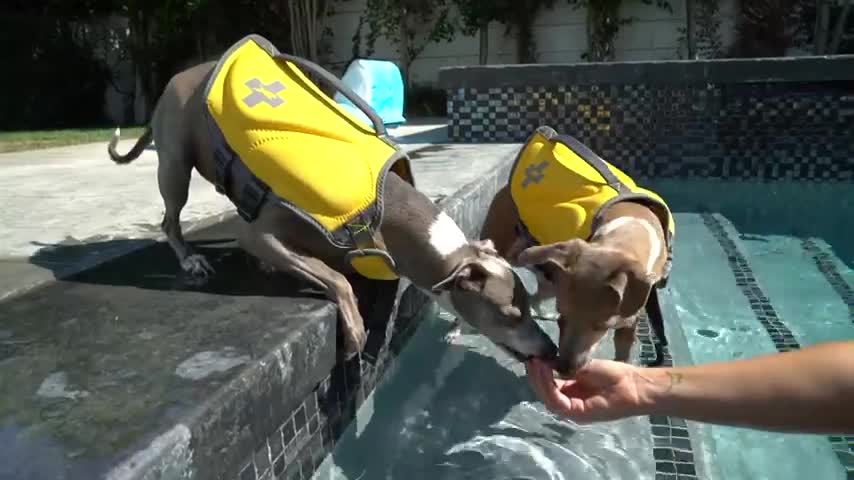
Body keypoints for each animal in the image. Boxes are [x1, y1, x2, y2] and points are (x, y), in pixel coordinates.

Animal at [105, 34, 560, 364]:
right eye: (510, 315)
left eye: (528, 305)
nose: (551, 350)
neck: (385, 207)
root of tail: (177, 78)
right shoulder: (265, 232)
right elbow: (334, 275)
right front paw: (354, 326)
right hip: (176, 161)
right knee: (170, 218)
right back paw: (192, 259)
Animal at [482, 125, 676, 376]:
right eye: (563, 317)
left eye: (601, 325)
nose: (563, 368)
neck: (631, 223)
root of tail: (504, 189)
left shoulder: (628, 322)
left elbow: (623, 357)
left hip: (549, 280)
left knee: (537, 294)